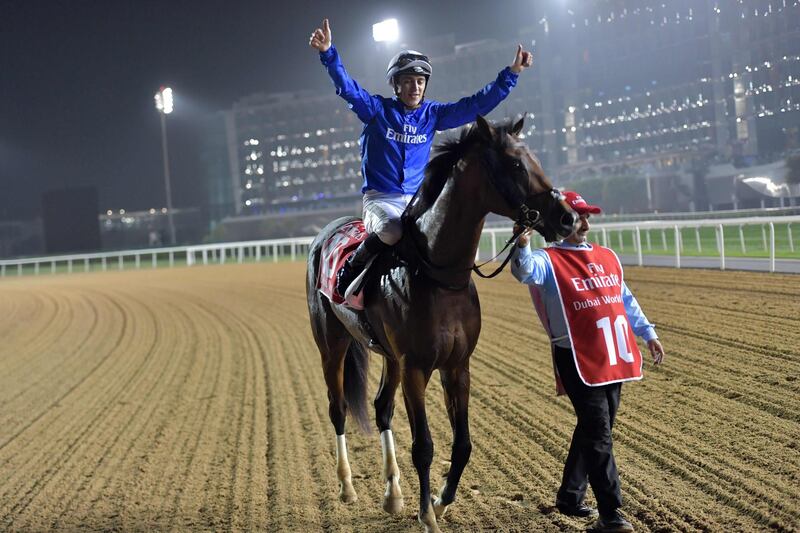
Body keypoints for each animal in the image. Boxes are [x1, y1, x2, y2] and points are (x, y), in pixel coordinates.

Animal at [306, 116, 576, 532]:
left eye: (535, 158)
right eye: (516, 164)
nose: (566, 217)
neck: (439, 274)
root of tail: (326, 231)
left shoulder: (456, 365)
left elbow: (462, 444)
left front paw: (441, 501)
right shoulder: (416, 368)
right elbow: (424, 446)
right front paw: (428, 516)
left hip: (389, 356)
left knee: (381, 407)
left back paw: (392, 493)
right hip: (332, 344)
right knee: (338, 408)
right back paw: (347, 487)